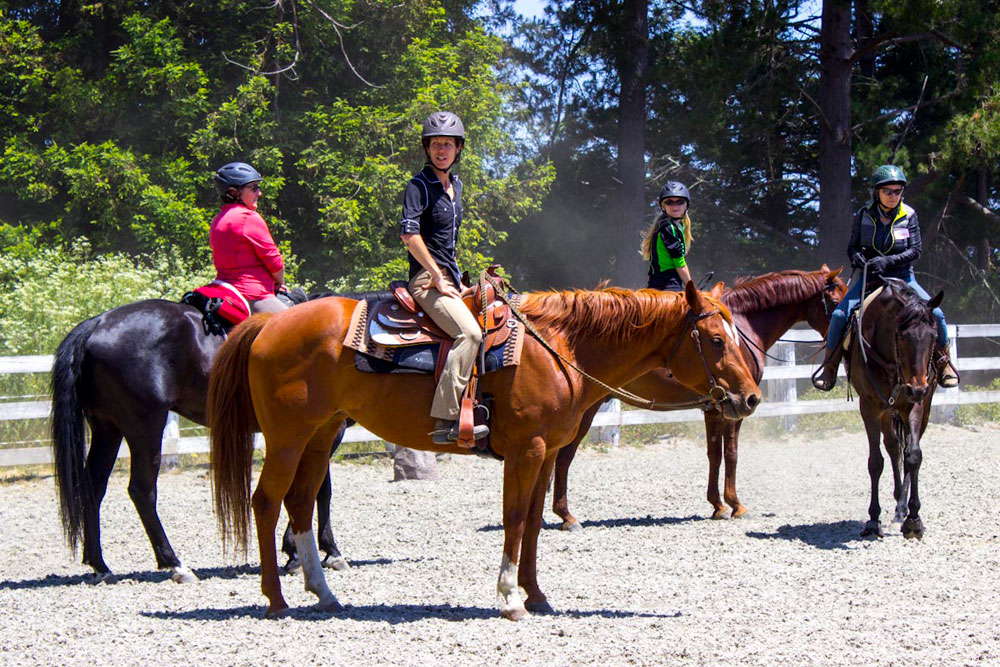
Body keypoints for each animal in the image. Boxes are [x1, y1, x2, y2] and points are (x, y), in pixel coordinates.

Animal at [47, 290, 368, 580]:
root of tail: (98, 323)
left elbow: (316, 489)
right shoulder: (325, 432)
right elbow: (317, 490)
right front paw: (319, 552)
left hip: (107, 429)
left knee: (93, 486)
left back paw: (99, 563)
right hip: (144, 427)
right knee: (142, 490)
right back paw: (174, 563)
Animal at [207, 282, 760, 620]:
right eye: (715, 339)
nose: (750, 398)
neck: (560, 347)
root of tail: (269, 325)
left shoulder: (545, 454)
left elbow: (534, 524)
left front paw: (536, 594)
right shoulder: (526, 452)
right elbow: (514, 519)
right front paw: (509, 598)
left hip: (321, 435)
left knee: (300, 503)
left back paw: (324, 594)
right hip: (287, 438)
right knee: (265, 502)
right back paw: (276, 599)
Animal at [552, 264, 848, 528]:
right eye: (835, 301)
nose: (842, 337)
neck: (743, 329)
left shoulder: (715, 407)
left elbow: (714, 453)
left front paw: (718, 505)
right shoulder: (731, 407)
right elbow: (730, 453)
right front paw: (734, 504)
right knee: (565, 455)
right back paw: (566, 515)